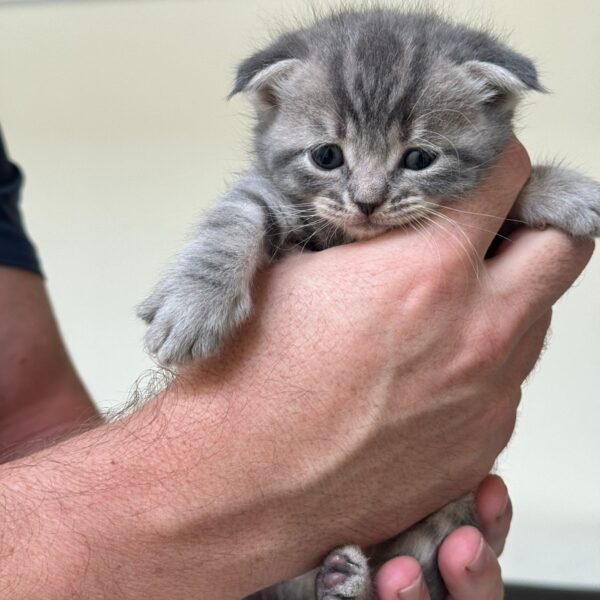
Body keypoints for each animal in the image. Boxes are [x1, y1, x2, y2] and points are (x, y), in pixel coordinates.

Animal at [138, 9, 600, 600]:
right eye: (327, 156)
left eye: (419, 158)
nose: (367, 200)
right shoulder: (276, 199)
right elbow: (237, 213)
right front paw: (193, 304)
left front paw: (560, 188)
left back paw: (345, 579)